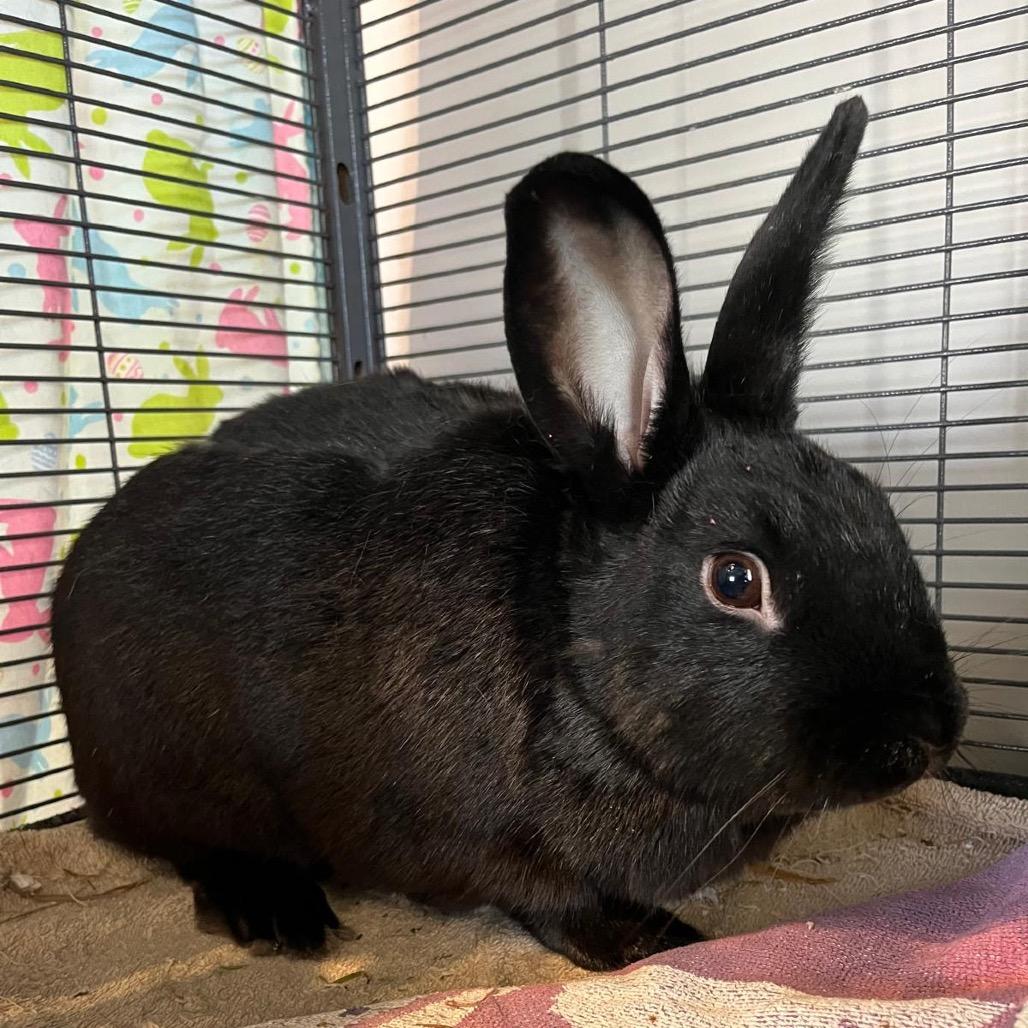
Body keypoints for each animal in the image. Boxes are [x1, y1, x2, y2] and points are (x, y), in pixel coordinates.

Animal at [52, 96, 967, 972]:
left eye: (878, 511)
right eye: (736, 579)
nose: (928, 736)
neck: (578, 673)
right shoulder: (485, 845)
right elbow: (554, 900)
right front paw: (650, 942)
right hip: (172, 776)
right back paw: (279, 912)